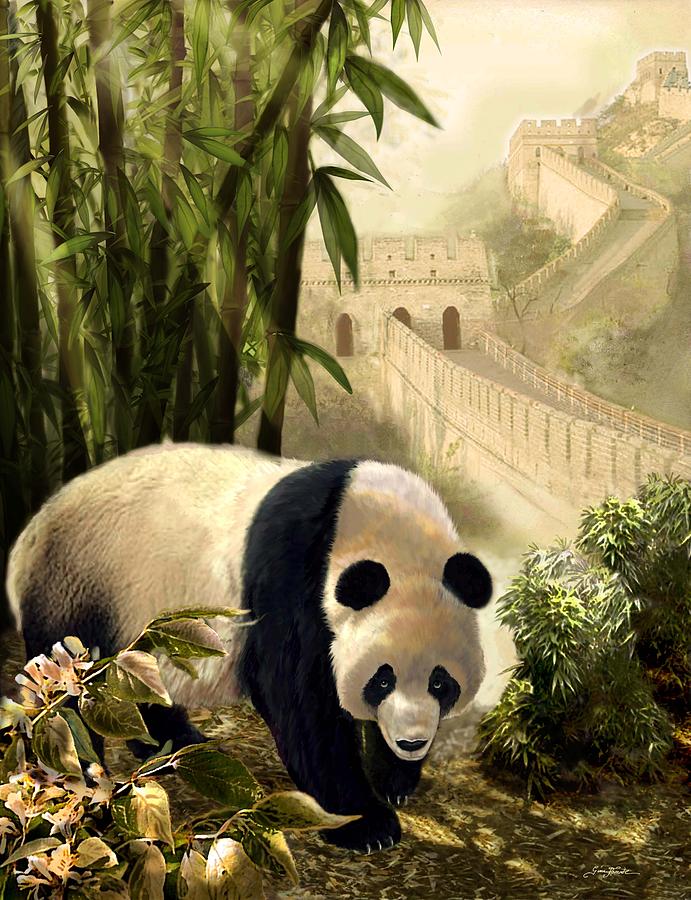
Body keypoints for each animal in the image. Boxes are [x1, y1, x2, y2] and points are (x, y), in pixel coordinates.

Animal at [7, 443, 492, 853]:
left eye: (441, 682)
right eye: (383, 679)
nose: (412, 742)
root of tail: (27, 536)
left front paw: (395, 778)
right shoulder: (295, 576)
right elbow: (300, 700)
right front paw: (368, 823)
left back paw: (173, 742)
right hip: (82, 582)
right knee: (72, 693)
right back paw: (83, 774)